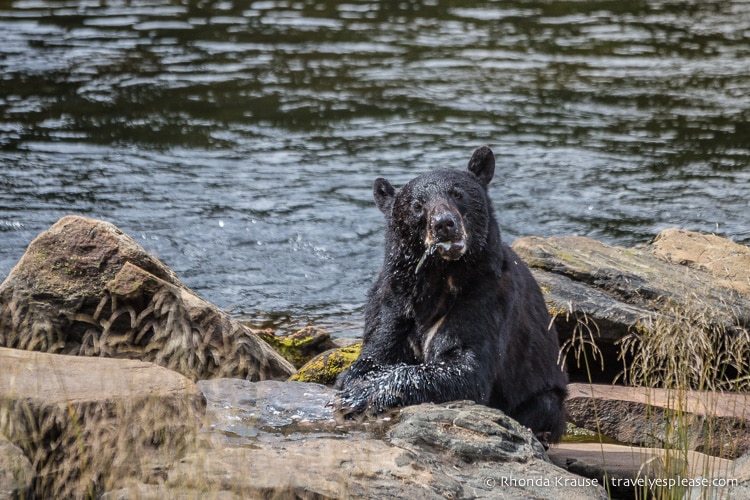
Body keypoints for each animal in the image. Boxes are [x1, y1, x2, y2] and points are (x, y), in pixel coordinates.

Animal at [336, 146, 568, 446]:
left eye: (458, 194)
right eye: (417, 205)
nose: (444, 224)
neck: (439, 277)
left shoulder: (487, 297)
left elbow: (466, 367)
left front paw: (363, 395)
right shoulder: (392, 301)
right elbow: (377, 350)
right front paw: (353, 383)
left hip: (545, 394)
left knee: (544, 407)